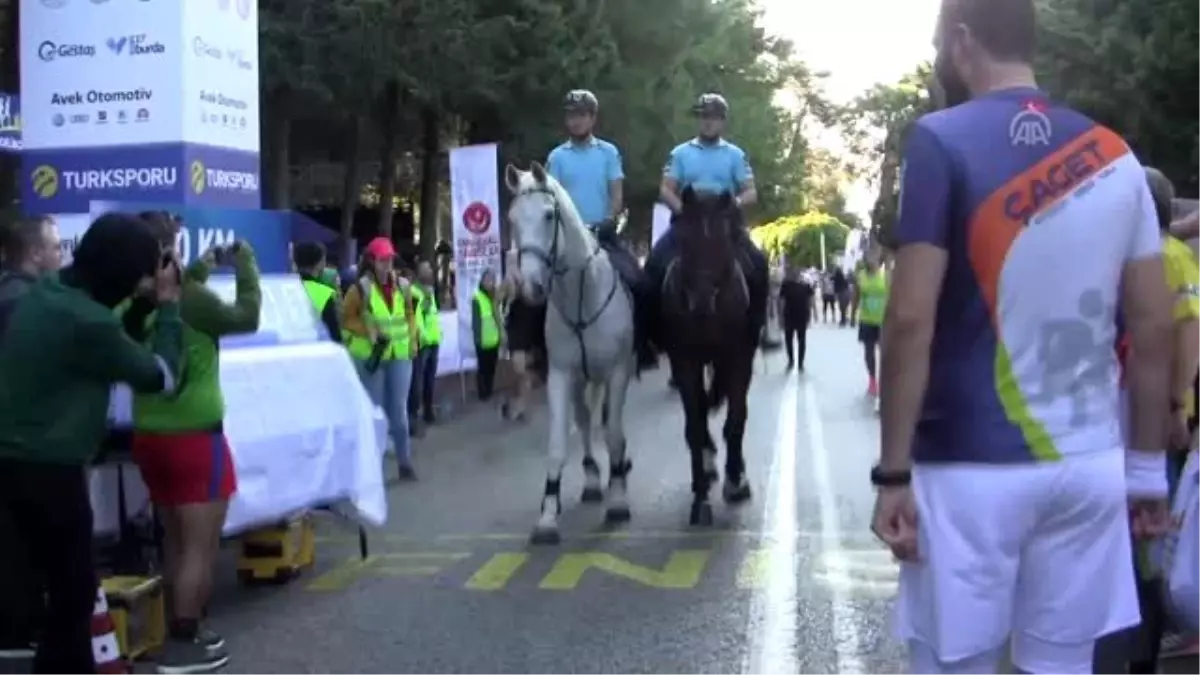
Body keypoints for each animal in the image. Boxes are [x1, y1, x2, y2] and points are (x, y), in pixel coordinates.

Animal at [504, 159, 638, 542]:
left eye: (549, 215)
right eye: (512, 218)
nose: (531, 286)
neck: (582, 293)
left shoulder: (618, 371)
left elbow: (613, 434)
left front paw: (618, 501)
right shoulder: (561, 374)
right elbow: (558, 444)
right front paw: (548, 515)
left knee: (607, 424)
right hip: (581, 379)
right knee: (584, 418)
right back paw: (592, 480)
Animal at [662, 186, 753, 523]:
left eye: (724, 241)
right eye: (684, 238)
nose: (701, 302)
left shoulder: (739, 358)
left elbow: (736, 420)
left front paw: (735, 482)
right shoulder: (684, 361)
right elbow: (695, 425)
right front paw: (700, 499)